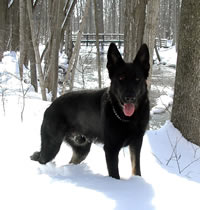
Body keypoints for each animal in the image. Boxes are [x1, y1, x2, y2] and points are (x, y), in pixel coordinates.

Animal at [30, 42, 150, 179]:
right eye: (121, 78)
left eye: (137, 79)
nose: (130, 98)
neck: (128, 119)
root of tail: (50, 106)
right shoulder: (111, 149)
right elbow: (115, 175)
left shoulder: (136, 143)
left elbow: (136, 169)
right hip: (52, 145)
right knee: (42, 159)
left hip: (82, 149)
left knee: (71, 161)